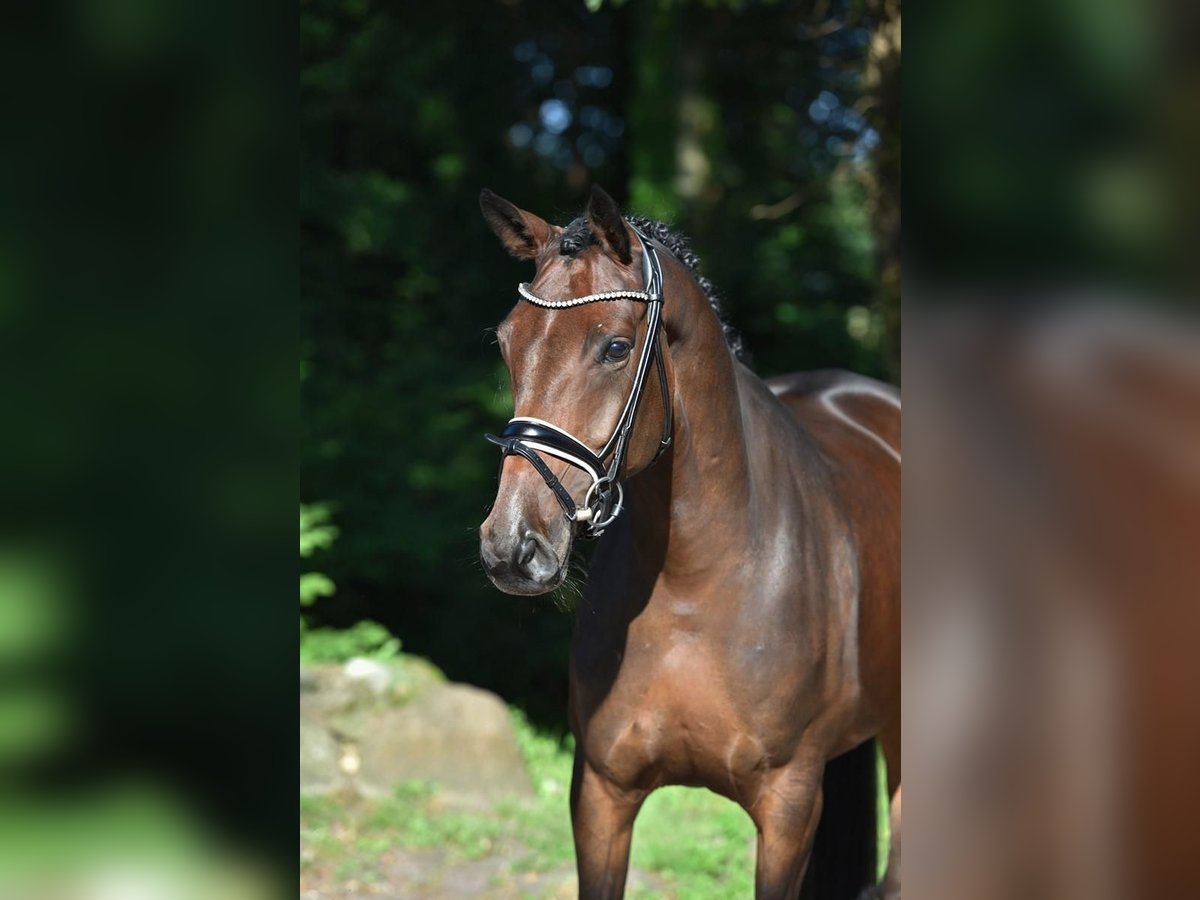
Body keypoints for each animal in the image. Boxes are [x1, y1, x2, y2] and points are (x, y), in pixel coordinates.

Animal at [477, 187, 902, 897]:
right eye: (509, 343)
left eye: (616, 348)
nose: (512, 546)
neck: (695, 581)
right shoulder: (601, 796)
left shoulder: (788, 808)